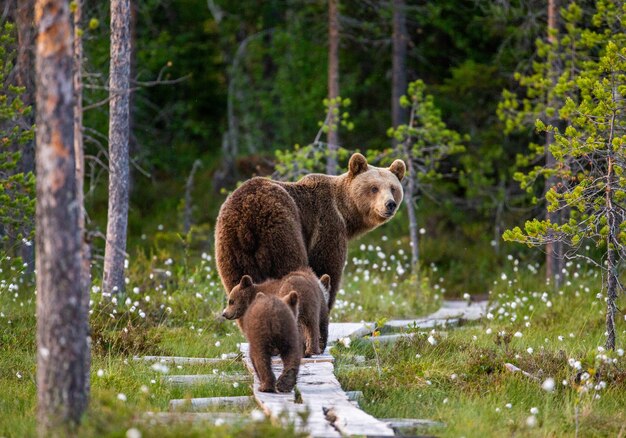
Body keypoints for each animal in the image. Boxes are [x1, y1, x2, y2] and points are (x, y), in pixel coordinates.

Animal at [213, 152, 404, 310]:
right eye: (374, 187)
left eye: (393, 188)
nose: (390, 204)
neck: (345, 213)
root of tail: (247, 218)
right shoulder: (327, 224)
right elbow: (326, 267)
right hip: (280, 229)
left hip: (231, 247)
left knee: (237, 282)